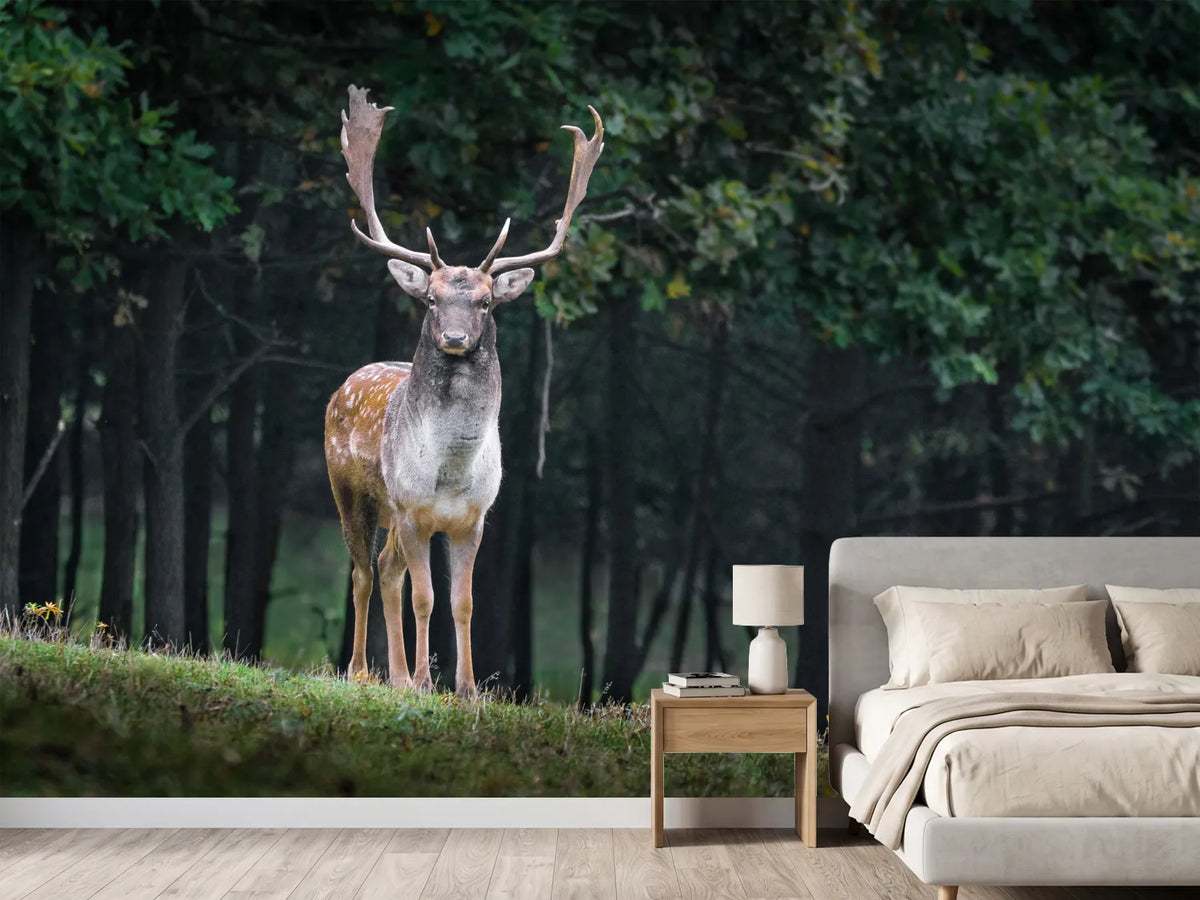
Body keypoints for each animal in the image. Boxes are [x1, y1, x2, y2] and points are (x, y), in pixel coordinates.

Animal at [325, 85, 604, 695]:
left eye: (485, 302)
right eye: (431, 298)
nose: (454, 337)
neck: (450, 471)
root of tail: (344, 385)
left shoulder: (473, 519)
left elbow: (463, 602)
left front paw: (467, 687)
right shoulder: (412, 510)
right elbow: (425, 598)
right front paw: (425, 681)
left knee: (385, 571)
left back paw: (395, 675)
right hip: (351, 492)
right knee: (362, 572)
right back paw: (362, 671)